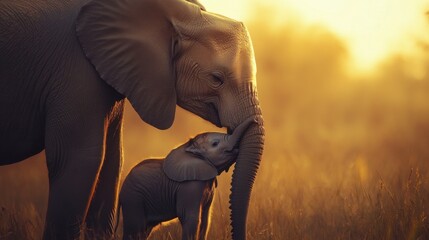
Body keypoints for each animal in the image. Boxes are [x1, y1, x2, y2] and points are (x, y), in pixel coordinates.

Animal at [118, 117, 256, 239]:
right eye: (215, 144)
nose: (255, 119)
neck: (190, 150)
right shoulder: (190, 187)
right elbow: (190, 218)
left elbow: (205, 220)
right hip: (133, 199)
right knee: (135, 230)